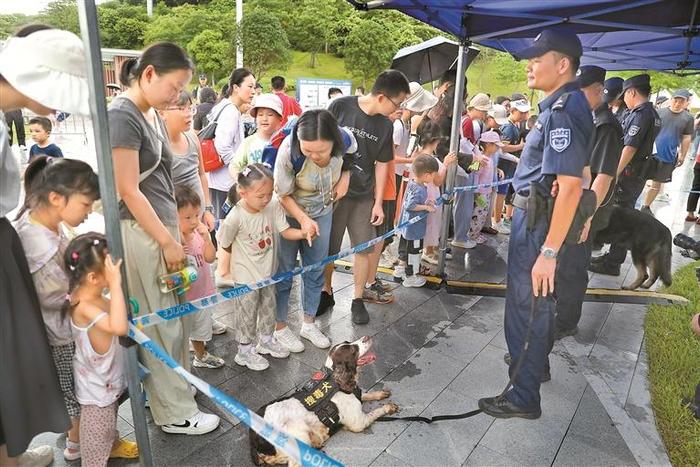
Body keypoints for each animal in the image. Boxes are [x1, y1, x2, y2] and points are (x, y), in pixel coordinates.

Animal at [249, 338, 396, 466]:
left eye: (349, 342)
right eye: (353, 350)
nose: (367, 337)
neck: (337, 382)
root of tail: (254, 439)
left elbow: (365, 395)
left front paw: (380, 394)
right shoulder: (359, 423)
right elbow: (376, 412)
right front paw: (389, 407)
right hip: (299, 435)